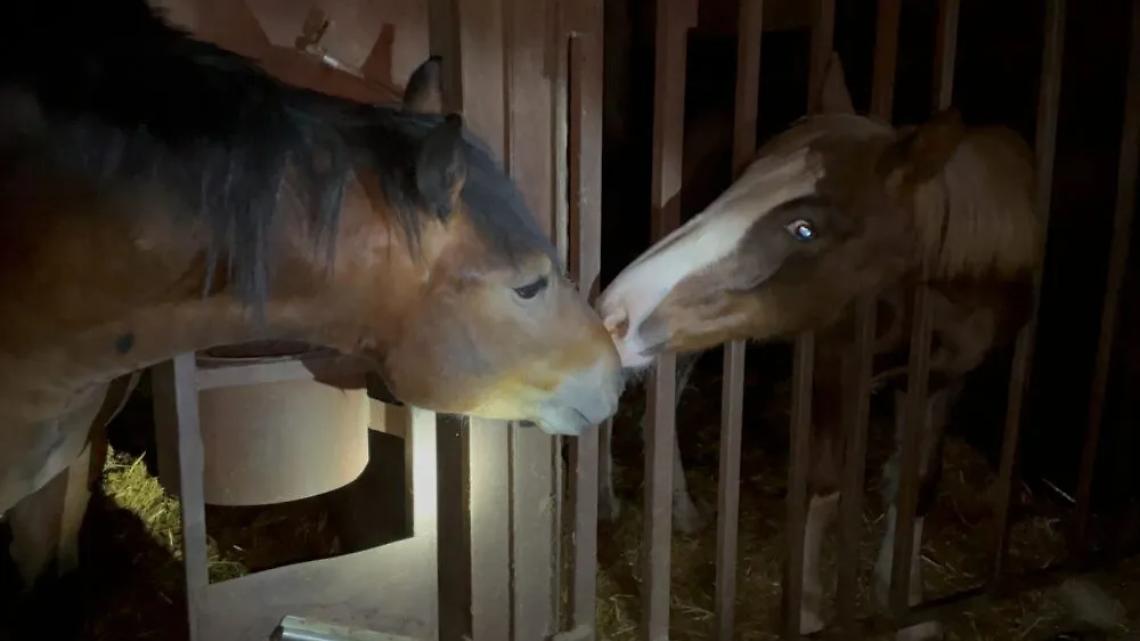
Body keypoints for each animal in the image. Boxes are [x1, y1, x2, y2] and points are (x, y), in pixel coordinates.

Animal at [596, 68, 1039, 639]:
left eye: (805, 228)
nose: (617, 312)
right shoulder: (837, 364)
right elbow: (825, 485)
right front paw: (807, 613)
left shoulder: (943, 378)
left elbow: (916, 481)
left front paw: (907, 606)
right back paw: (608, 501)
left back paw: (682, 511)